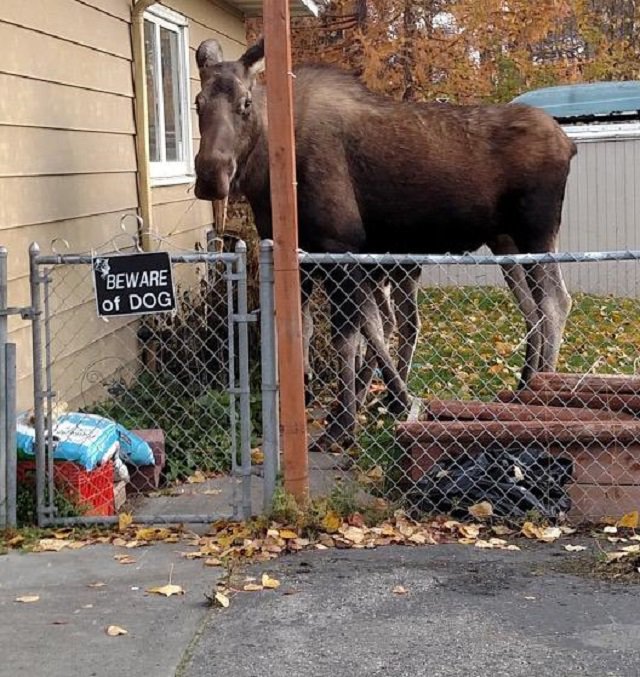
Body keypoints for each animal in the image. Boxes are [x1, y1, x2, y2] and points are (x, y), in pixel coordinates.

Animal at [192, 37, 576, 448]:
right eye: (198, 102)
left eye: (246, 103)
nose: (211, 176)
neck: (268, 176)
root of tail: (568, 144)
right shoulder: (307, 258)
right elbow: (317, 329)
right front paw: (340, 397)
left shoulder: (339, 247)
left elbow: (349, 336)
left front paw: (344, 423)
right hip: (505, 243)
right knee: (531, 310)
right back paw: (523, 385)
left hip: (536, 232)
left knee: (555, 303)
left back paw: (540, 395)